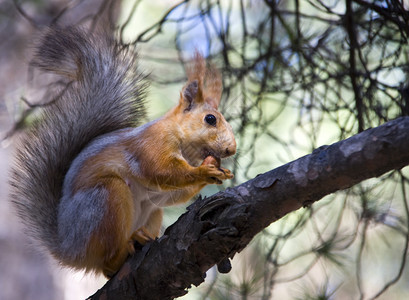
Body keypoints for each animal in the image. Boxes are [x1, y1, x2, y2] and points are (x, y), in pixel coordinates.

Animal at [10, 27, 236, 278]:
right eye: (210, 119)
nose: (231, 149)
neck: (186, 148)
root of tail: (68, 248)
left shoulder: (161, 194)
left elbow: (173, 194)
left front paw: (217, 170)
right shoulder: (151, 145)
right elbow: (162, 171)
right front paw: (205, 171)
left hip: (150, 212)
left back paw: (141, 238)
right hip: (105, 202)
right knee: (107, 263)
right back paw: (123, 250)